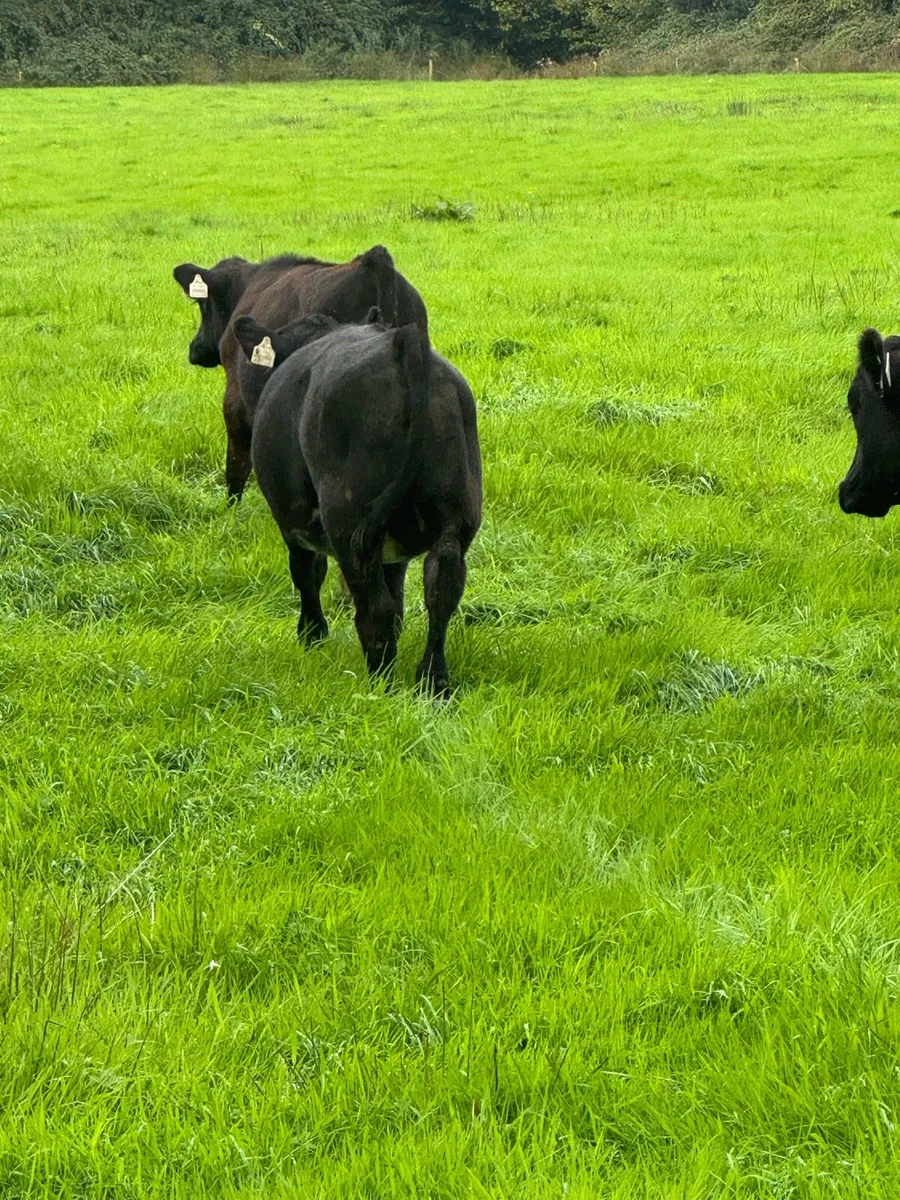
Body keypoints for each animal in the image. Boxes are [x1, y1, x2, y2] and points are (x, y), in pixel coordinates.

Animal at [230, 311, 482, 696]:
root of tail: (402, 343)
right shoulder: (394, 551)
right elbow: (398, 597)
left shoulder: (291, 521)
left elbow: (307, 572)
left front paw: (312, 634)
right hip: (455, 516)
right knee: (442, 589)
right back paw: (432, 681)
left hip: (351, 524)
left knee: (374, 609)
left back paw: (381, 684)